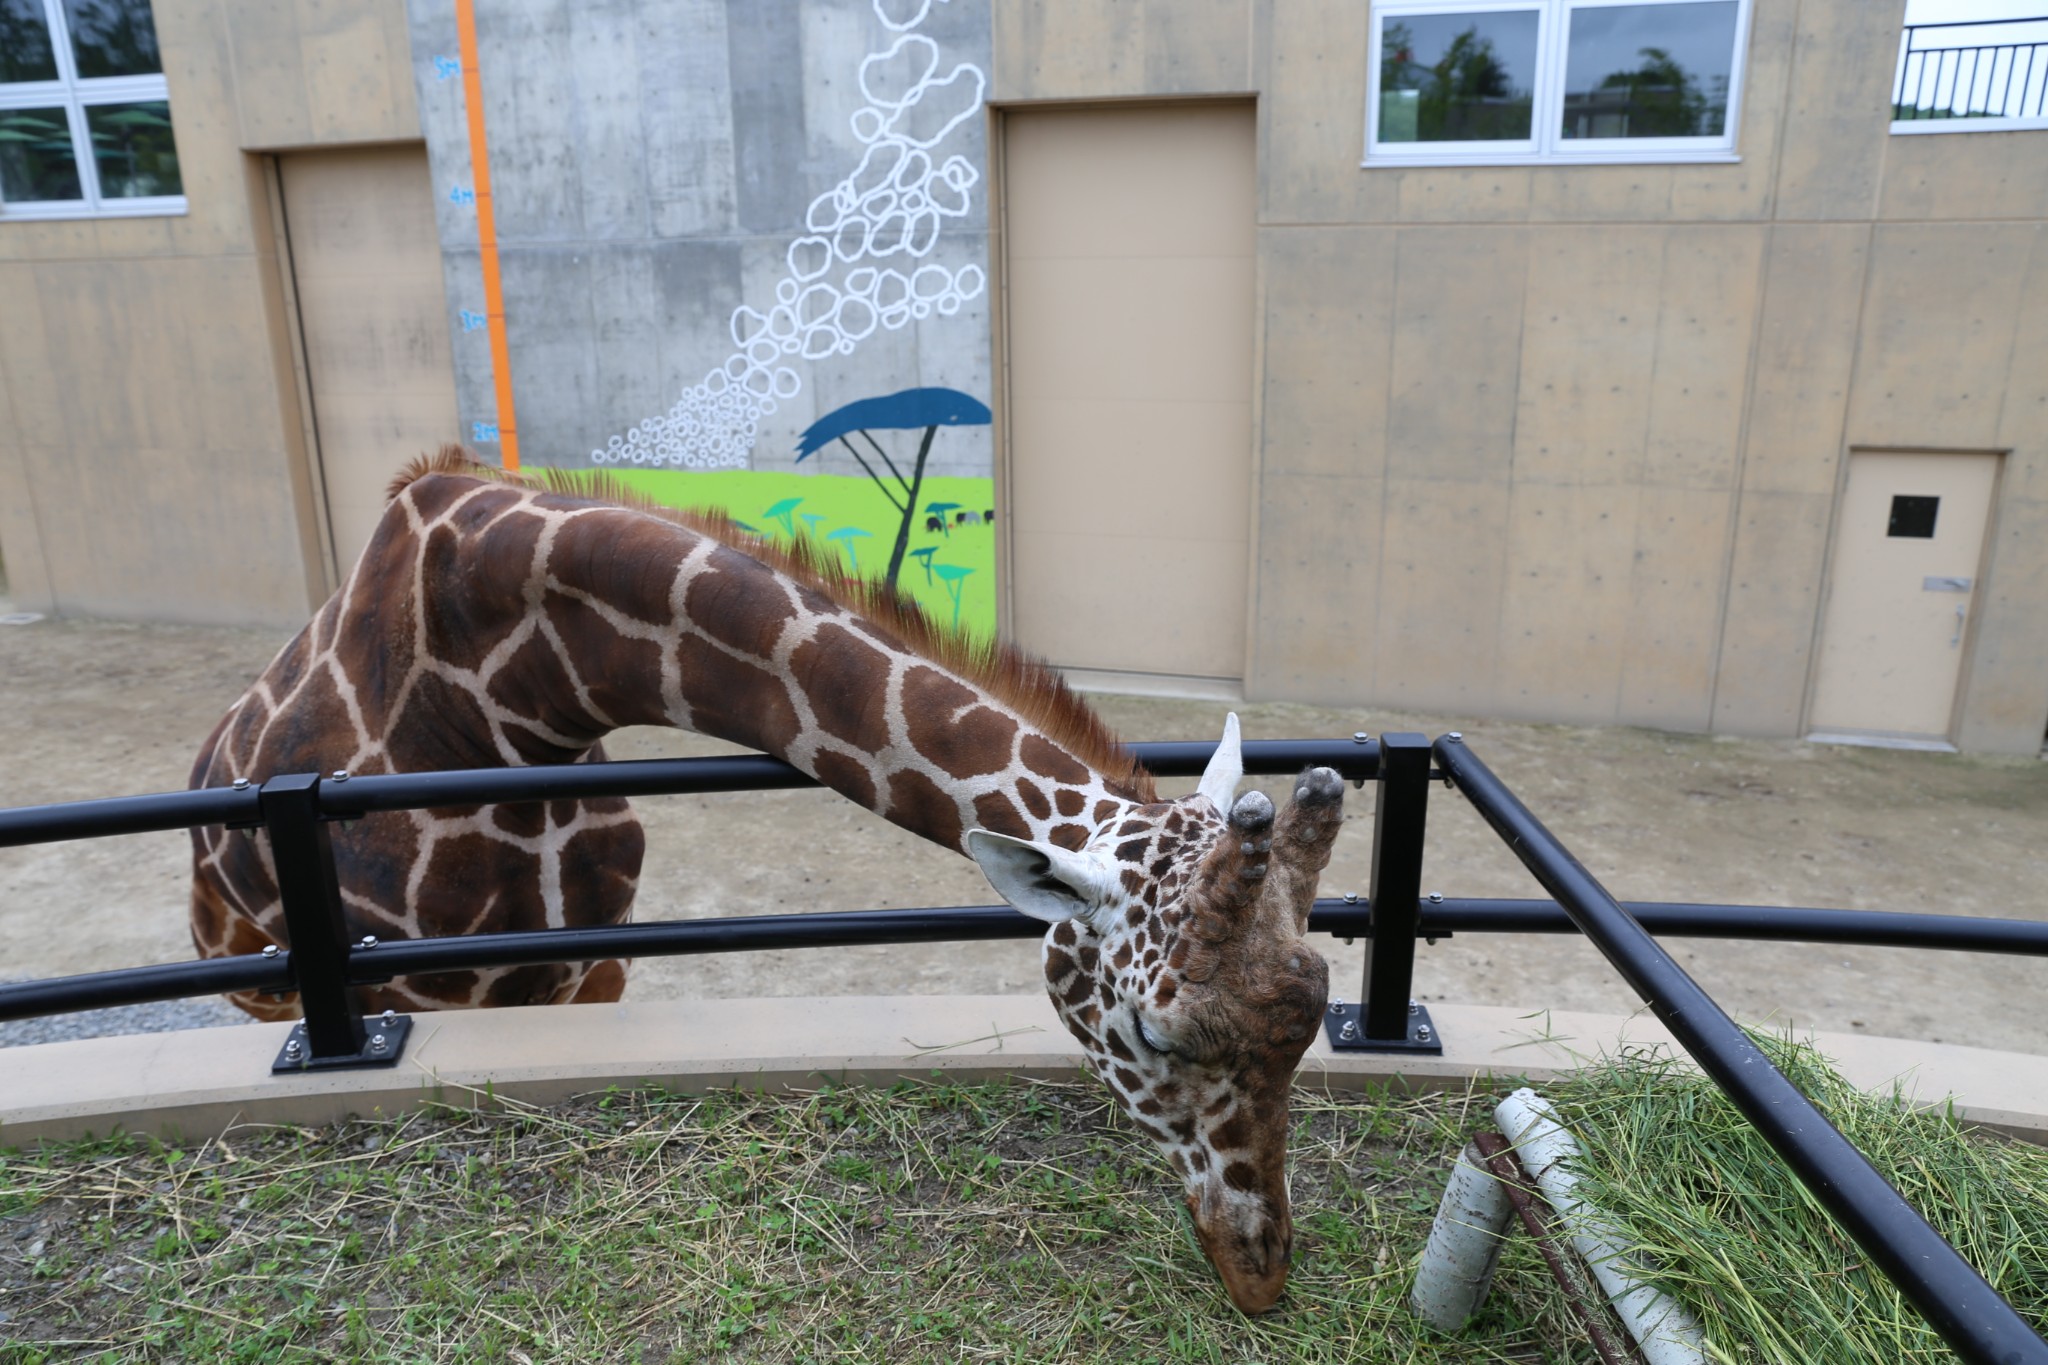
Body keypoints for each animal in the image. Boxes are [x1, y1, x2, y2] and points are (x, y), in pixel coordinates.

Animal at [192, 450, 1343, 1309]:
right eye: (1153, 1034)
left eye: (1314, 1011)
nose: (1258, 1275)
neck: (501, 691)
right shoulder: (428, 988)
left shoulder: (595, 963)